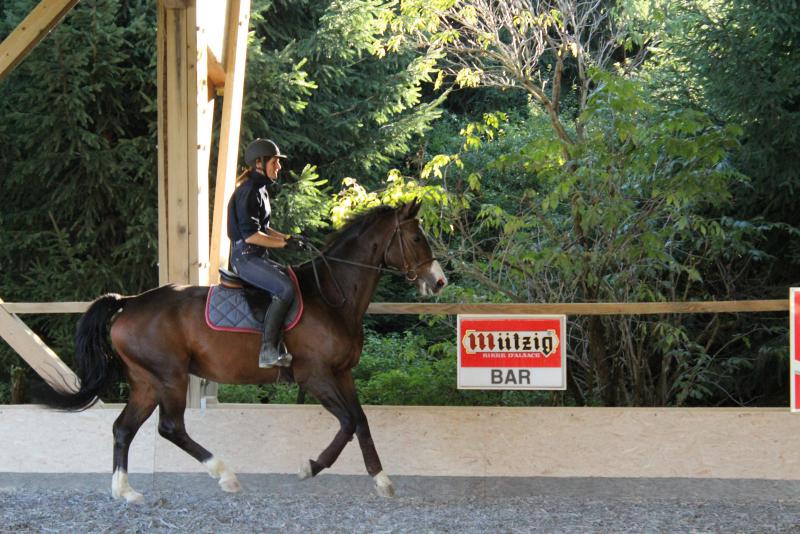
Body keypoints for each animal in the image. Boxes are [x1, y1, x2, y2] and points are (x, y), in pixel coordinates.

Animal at [48, 202, 450, 506]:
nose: (439, 281)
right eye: (416, 237)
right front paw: (310, 467)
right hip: (170, 377)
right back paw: (225, 475)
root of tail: (129, 303)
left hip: (147, 382)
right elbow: (349, 422)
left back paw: (126, 491)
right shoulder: (315, 376)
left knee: (124, 428)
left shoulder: (342, 373)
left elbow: (362, 421)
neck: (332, 296)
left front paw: (382, 479)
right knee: (170, 427)